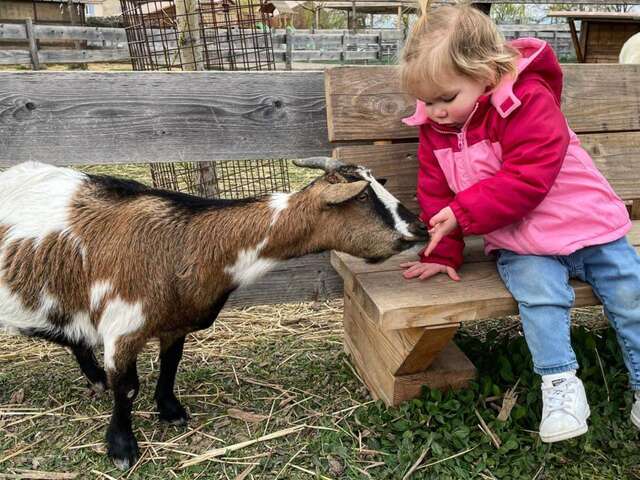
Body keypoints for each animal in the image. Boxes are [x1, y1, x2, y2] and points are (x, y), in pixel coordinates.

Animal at [0, 158, 428, 468]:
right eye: (363, 199)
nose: (421, 228)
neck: (185, 243)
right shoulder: (122, 327)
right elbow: (128, 386)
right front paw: (121, 447)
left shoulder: (175, 322)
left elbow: (170, 364)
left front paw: (171, 411)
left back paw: (94, 379)